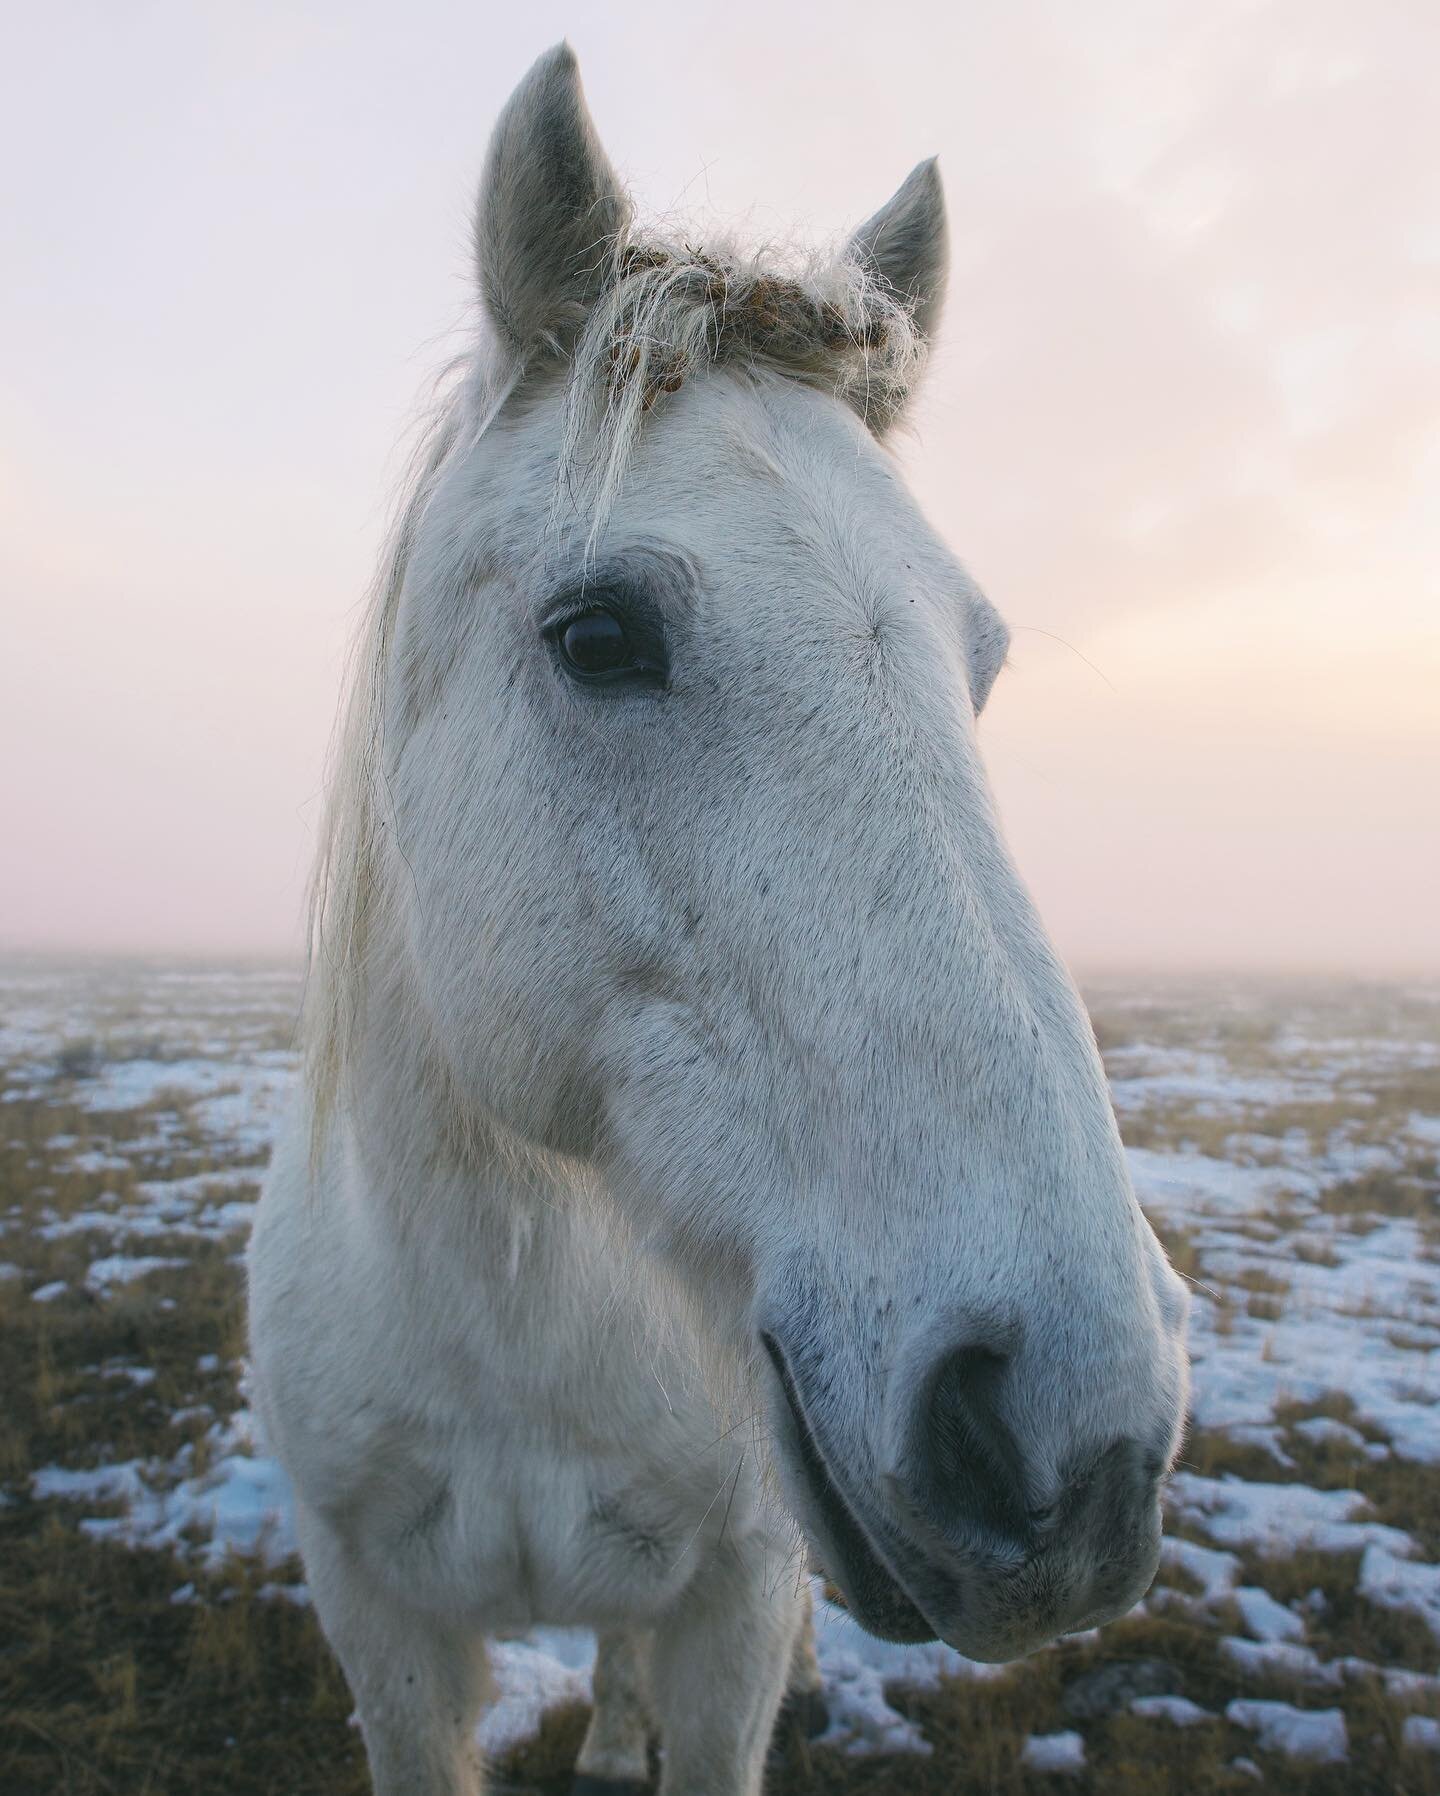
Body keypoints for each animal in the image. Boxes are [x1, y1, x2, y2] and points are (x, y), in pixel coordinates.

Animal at [249, 49, 1192, 1796]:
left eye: (980, 662)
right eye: (597, 633)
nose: (1081, 1437)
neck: (515, 1315)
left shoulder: (738, 1602)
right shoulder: (380, 1622)